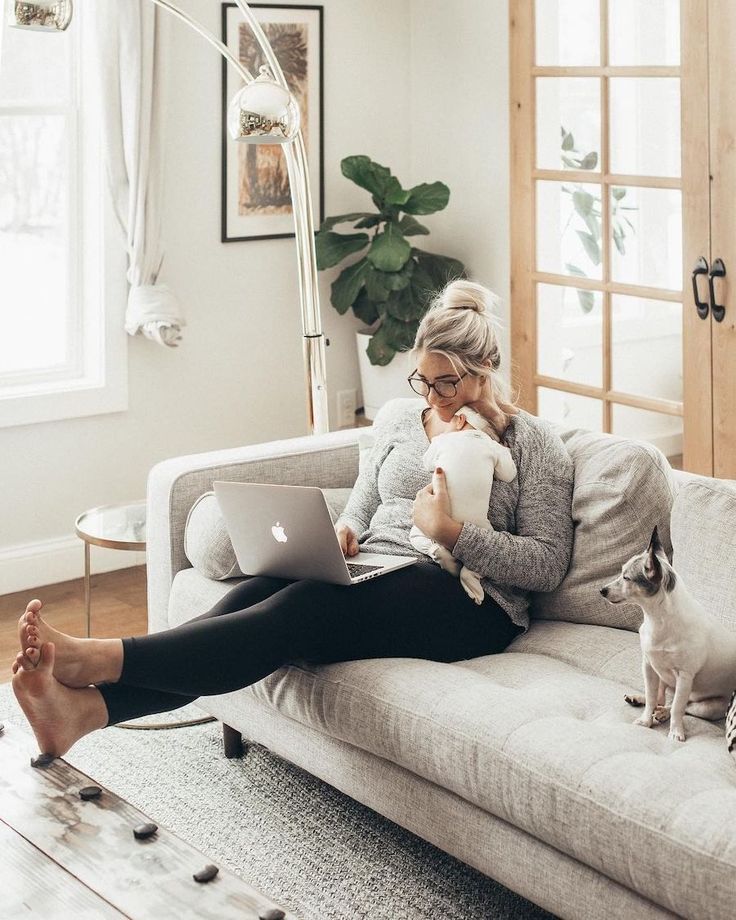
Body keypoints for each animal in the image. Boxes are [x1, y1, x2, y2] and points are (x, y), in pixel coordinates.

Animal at [600, 528, 736, 744]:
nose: (601, 590)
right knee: (660, 698)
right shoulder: (648, 666)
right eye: (621, 573)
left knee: (681, 705)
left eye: (626, 578)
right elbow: (652, 697)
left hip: (707, 707)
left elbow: (678, 708)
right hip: (661, 675)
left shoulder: (684, 677)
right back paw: (642, 700)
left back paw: (663, 713)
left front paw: (675, 732)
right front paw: (645, 720)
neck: (656, 619)